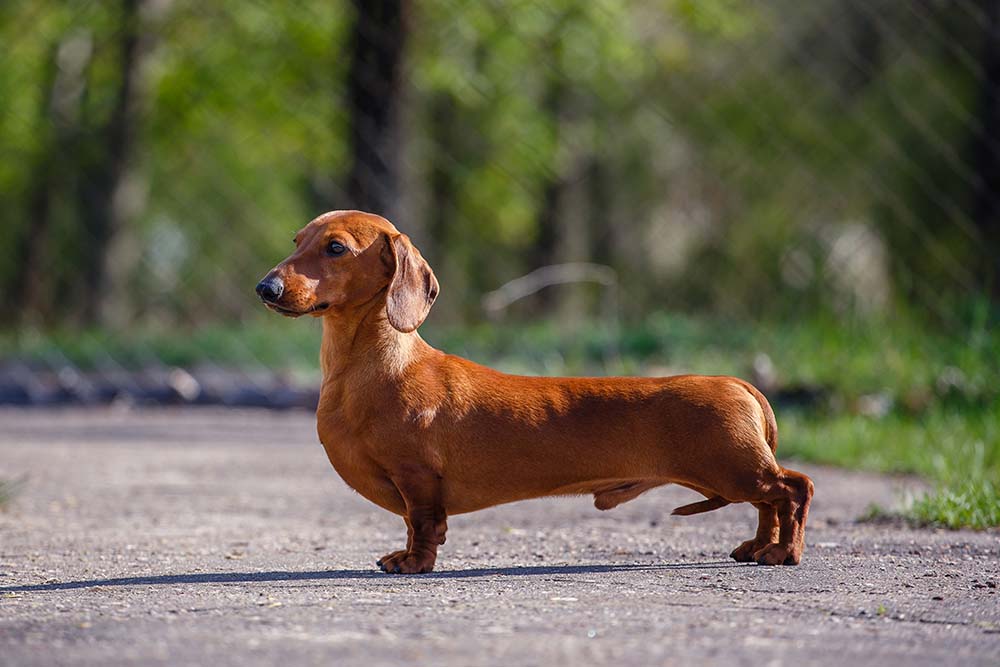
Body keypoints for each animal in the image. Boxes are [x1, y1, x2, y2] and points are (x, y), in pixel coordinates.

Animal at [256, 210, 812, 576]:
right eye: (297, 240)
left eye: (336, 248)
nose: (266, 288)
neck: (375, 367)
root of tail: (739, 382)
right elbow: (416, 524)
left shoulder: (417, 477)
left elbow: (423, 524)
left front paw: (414, 563)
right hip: (738, 472)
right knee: (770, 502)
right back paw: (758, 548)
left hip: (732, 468)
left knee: (793, 489)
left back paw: (784, 553)